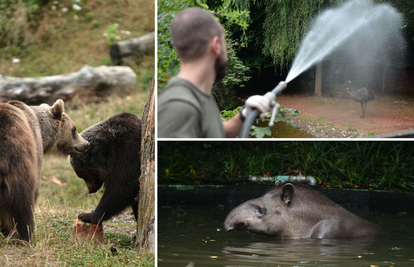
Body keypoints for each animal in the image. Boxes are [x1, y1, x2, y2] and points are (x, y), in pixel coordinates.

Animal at [0, 99, 88, 243]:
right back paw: (26, 236)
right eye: (74, 129)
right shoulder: (35, 148)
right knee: (22, 200)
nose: (86, 144)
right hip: (17, 158)